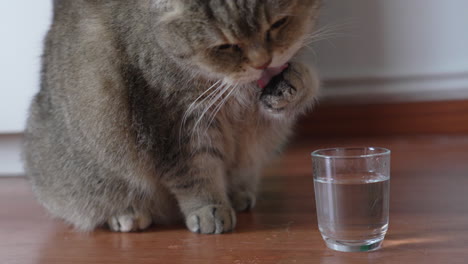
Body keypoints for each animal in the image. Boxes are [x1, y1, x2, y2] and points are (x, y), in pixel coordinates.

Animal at [23, 0, 320, 235]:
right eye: (224, 46)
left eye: (279, 23)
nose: (263, 62)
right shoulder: (174, 124)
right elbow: (195, 174)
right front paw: (209, 209)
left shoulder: (256, 121)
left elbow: (300, 85)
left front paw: (295, 82)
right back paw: (127, 214)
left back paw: (238, 194)